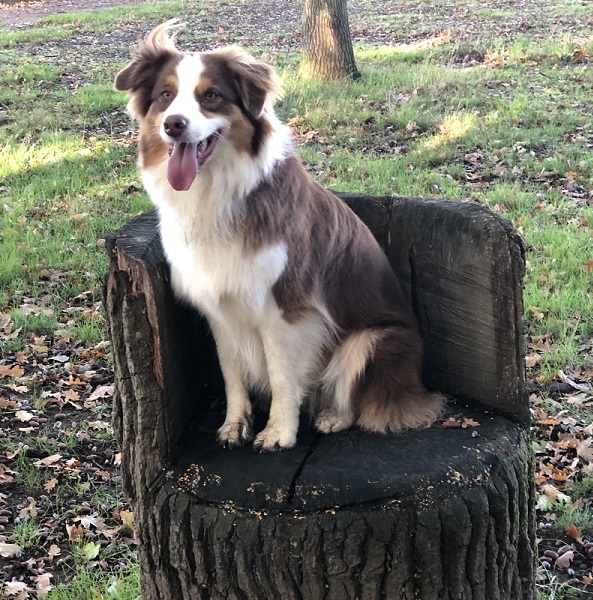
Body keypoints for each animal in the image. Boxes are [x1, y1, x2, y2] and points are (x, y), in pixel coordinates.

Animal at [114, 21, 440, 452]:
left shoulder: (287, 310)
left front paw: (278, 432)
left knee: (363, 401)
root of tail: (419, 385)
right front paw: (235, 424)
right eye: (165, 95)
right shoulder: (221, 309)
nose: (173, 124)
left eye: (211, 96)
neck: (219, 194)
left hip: (374, 339)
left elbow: (283, 375)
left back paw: (333, 417)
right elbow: (232, 374)